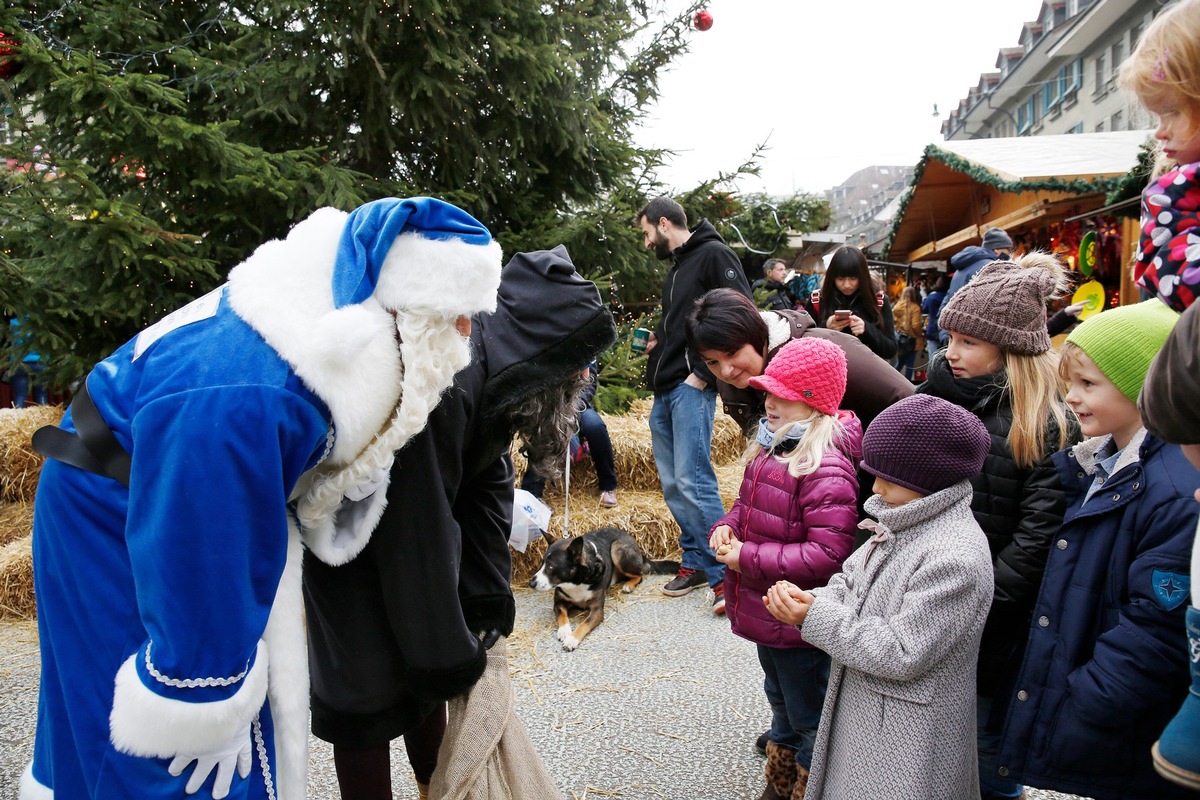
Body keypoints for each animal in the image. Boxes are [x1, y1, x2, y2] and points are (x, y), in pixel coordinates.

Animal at [530, 525, 681, 652]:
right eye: (542, 563)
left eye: (551, 566)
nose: (531, 583)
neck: (576, 582)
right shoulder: (559, 602)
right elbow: (562, 614)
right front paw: (564, 630)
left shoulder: (597, 610)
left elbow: (584, 624)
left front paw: (572, 639)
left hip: (618, 551)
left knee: (640, 574)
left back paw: (629, 585)